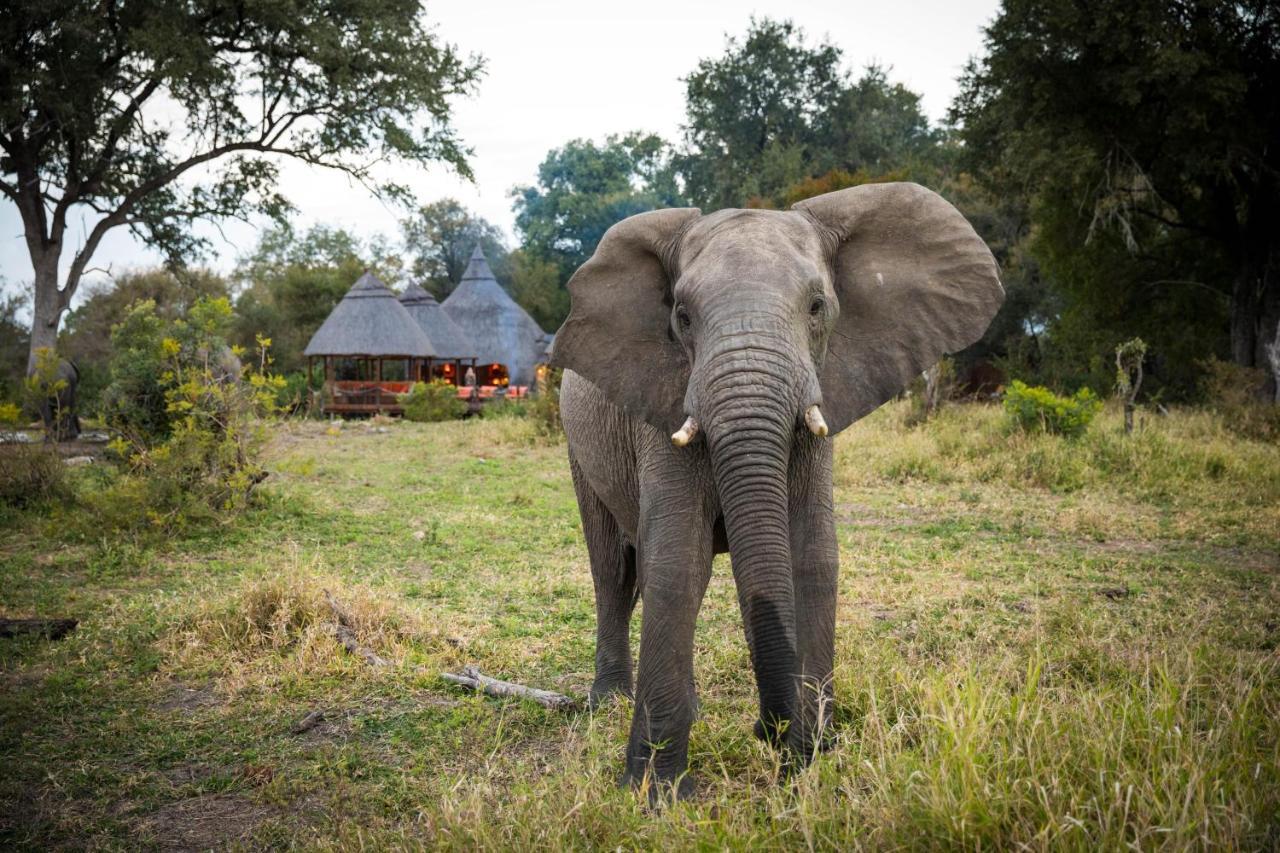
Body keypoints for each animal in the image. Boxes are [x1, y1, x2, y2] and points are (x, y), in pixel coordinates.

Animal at [555, 179, 1003, 788]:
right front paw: (654, 791)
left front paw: (808, 765)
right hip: (578, 442)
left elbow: (813, 556)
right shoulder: (663, 402)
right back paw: (609, 702)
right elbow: (678, 561)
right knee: (614, 568)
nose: (768, 730)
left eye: (817, 307)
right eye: (682, 317)